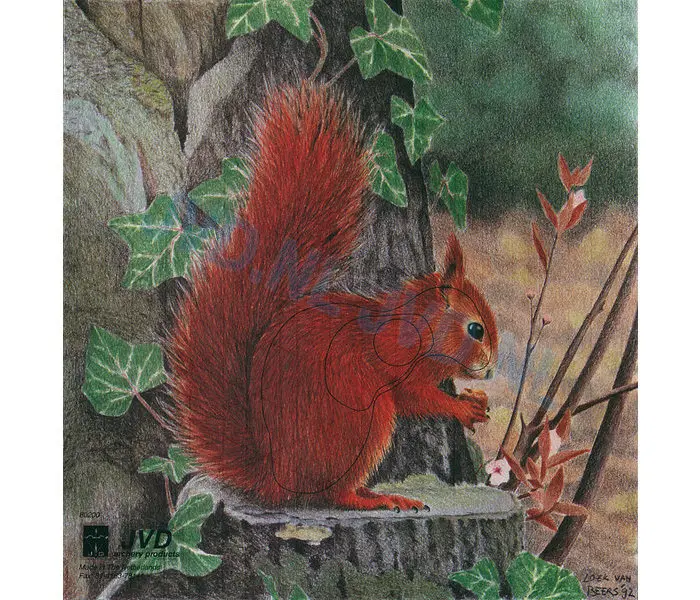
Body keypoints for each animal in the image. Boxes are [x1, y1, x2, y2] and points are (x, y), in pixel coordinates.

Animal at [169, 83, 498, 511]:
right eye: (475, 329)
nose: (490, 369)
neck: (418, 324)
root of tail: (275, 477)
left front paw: (476, 398)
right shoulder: (395, 355)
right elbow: (415, 397)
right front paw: (463, 407)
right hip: (360, 420)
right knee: (334, 493)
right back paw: (378, 499)